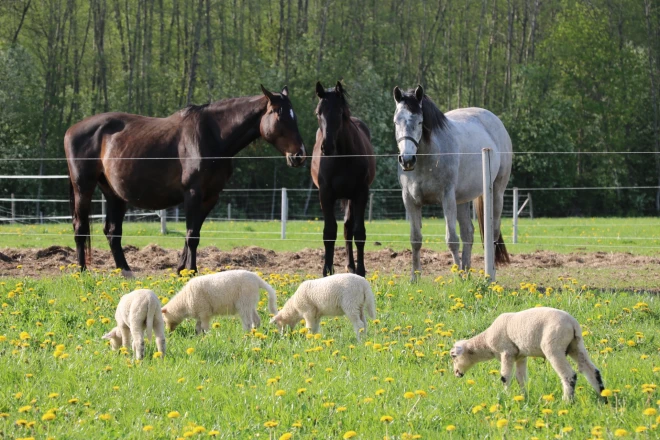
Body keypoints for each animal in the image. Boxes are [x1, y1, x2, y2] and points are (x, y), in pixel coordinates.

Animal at [64, 85, 306, 276]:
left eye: (295, 116)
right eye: (279, 115)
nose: (299, 155)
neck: (212, 136)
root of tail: (71, 130)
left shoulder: (210, 197)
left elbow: (193, 233)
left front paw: (181, 269)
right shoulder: (193, 193)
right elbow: (192, 235)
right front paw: (191, 271)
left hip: (114, 193)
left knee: (112, 231)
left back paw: (125, 271)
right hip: (83, 187)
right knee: (80, 226)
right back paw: (82, 271)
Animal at [310, 81, 376, 276]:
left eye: (339, 113)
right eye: (318, 112)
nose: (327, 146)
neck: (342, 156)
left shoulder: (360, 193)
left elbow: (359, 232)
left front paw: (361, 270)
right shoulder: (325, 194)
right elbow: (329, 232)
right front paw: (327, 270)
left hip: (350, 197)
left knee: (348, 228)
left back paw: (352, 267)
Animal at [392, 85, 510, 282]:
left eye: (419, 122)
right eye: (396, 122)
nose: (407, 160)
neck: (429, 157)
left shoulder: (447, 198)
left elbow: (452, 239)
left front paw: (458, 277)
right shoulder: (410, 200)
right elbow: (415, 239)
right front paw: (415, 278)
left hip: (496, 192)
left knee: (492, 233)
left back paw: (489, 276)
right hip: (462, 200)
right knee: (468, 232)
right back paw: (467, 271)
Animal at [452, 308, 604, 400]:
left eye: (453, 356)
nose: (457, 374)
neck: (486, 342)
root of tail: (572, 323)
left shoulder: (506, 352)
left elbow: (505, 377)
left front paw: (506, 396)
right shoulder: (520, 356)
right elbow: (521, 378)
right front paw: (523, 396)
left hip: (554, 346)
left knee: (569, 375)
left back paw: (567, 401)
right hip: (576, 345)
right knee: (591, 370)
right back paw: (602, 396)